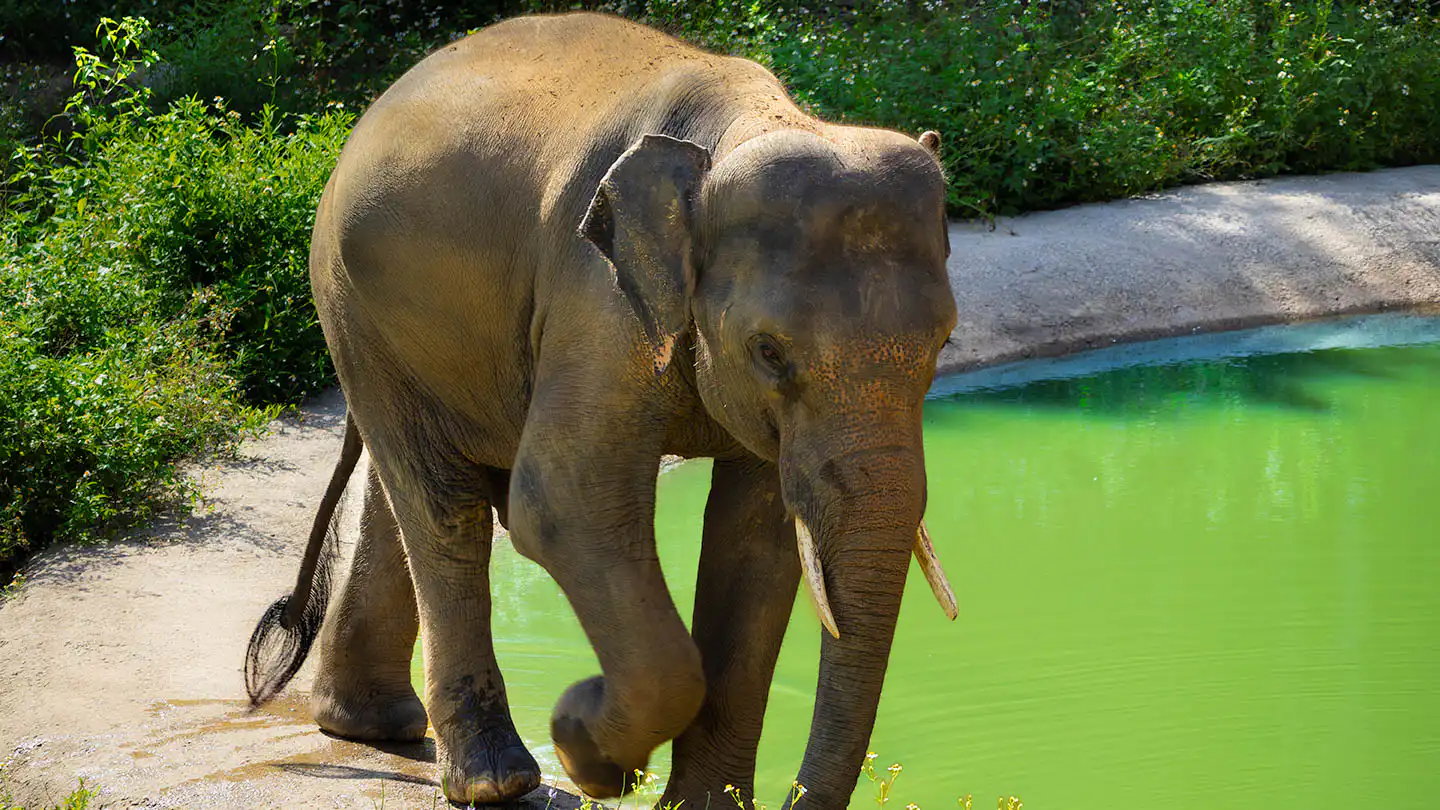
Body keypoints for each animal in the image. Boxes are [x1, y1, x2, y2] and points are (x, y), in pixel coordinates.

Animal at [244, 11, 959, 809]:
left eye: (945, 341)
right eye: (769, 351)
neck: (739, 129)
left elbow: (759, 540)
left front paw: (691, 801)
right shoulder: (597, 292)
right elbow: (564, 502)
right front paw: (582, 740)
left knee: (412, 488)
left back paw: (369, 726)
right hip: (352, 302)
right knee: (445, 508)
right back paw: (495, 780)